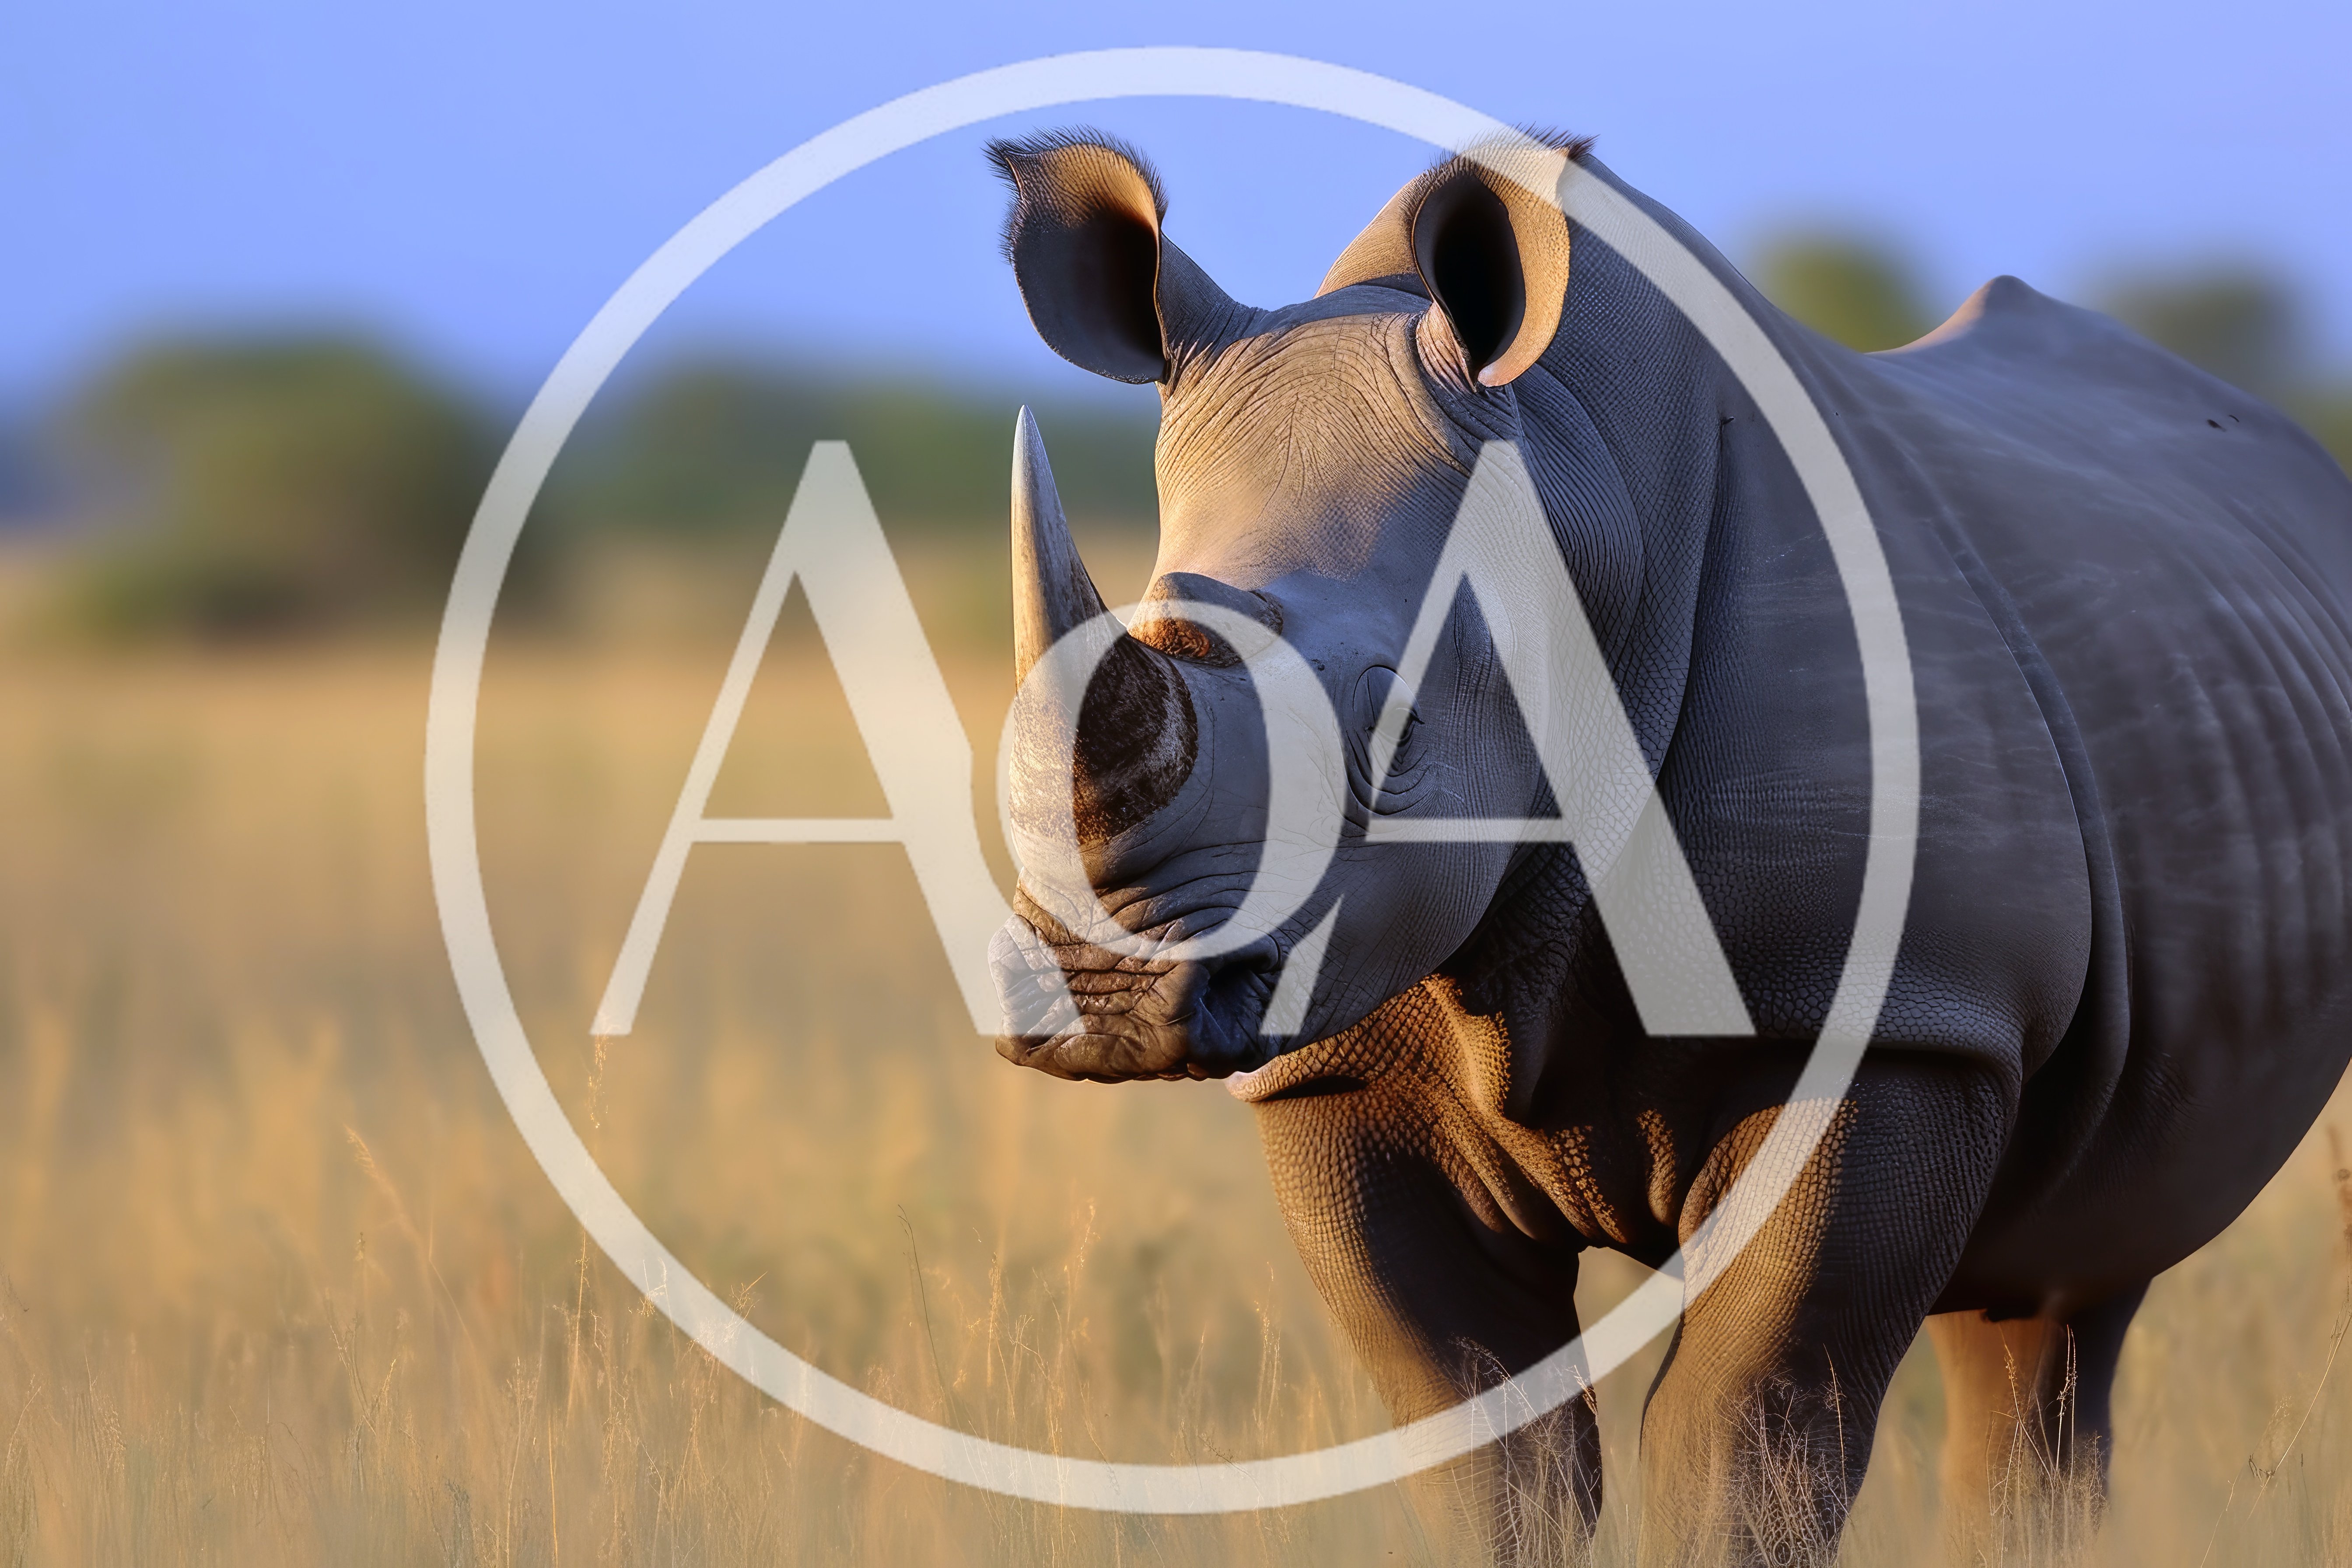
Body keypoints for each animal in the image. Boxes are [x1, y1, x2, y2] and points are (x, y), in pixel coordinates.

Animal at [981, 127, 2352, 1564]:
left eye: (1399, 729)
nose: (1104, 1002)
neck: (1576, 502)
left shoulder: (1898, 1011)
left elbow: (1742, 1427)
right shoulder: (1335, 1053)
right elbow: (1478, 1433)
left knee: (2071, 1284)